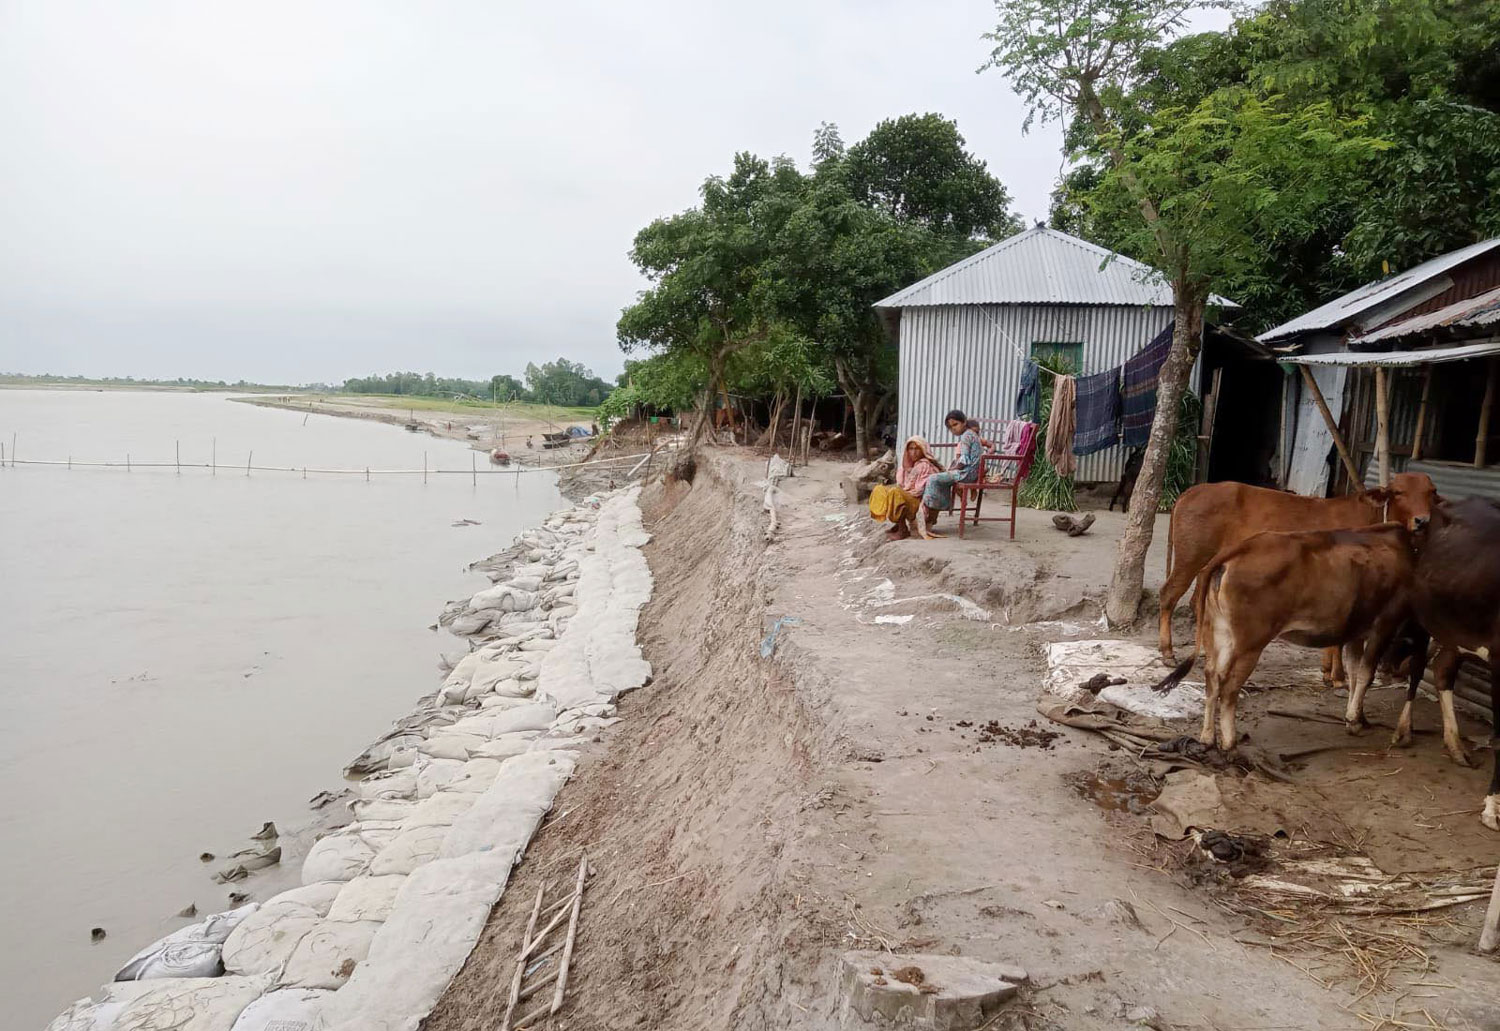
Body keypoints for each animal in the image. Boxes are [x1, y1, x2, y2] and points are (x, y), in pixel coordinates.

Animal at [1152, 471, 1434, 684]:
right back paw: (1167, 651)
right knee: (1169, 593)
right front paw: (1337, 676)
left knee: (1196, 599)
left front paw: (1327, 671)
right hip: (1191, 556)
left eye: (1431, 492)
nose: (1423, 520)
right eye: (1399, 492)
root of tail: (1192, 491)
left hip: (1209, 562)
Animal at [1152, 528, 1410, 753]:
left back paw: (1207, 738)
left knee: (1212, 677)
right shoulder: (1385, 623)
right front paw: (1356, 720)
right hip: (1249, 644)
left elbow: (1355, 674)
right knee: (1229, 687)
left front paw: (1357, 718)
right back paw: (1230, 743)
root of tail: (1243, 546)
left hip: (1220, 632)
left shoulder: (1356, 632)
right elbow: (1366, 675)